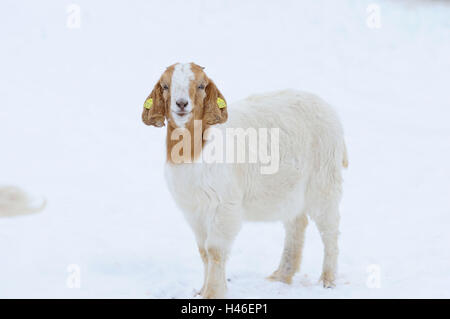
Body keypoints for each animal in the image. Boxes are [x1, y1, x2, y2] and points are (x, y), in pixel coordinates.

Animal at [141, 63, 348, 300]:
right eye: (165, 86)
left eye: (201, 85)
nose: (181, 103)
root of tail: (328, 108)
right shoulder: (193, 211)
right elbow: (203, 251)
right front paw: (201, 290)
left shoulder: (225, 205)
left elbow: (215, 250)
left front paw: (212, 293)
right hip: (291, 189)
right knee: (296, 224)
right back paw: (282, 275)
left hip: (324, 180)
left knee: (329, 230)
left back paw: (327, 280)